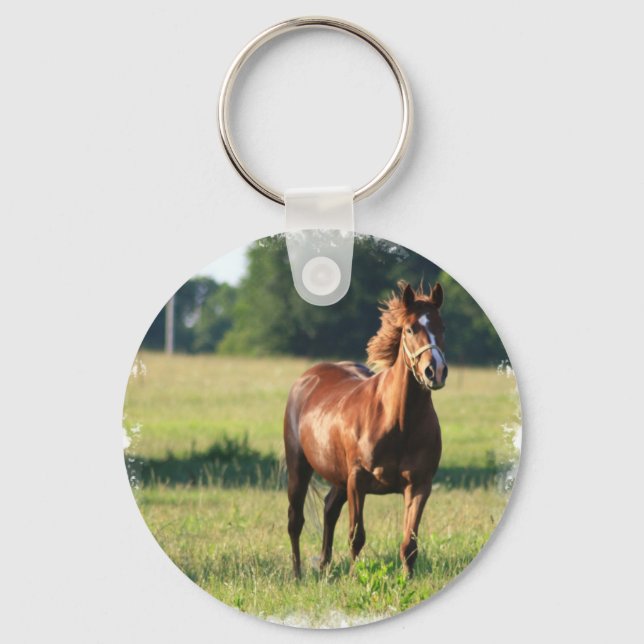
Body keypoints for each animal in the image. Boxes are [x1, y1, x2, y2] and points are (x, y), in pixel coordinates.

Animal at [283, 280, 448, 578]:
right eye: (410, 329)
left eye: (442, 327)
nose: (435, 371)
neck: (399, 423)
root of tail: (308, 378)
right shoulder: (357, 479)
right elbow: (356, 535)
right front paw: (353, 578)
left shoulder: (419, 485)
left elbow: (410, 543)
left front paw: (407, 580)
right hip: (300, 467)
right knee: (295, 520)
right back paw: (298, 574)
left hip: (339, 477)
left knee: (329, 509)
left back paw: (324, 567)